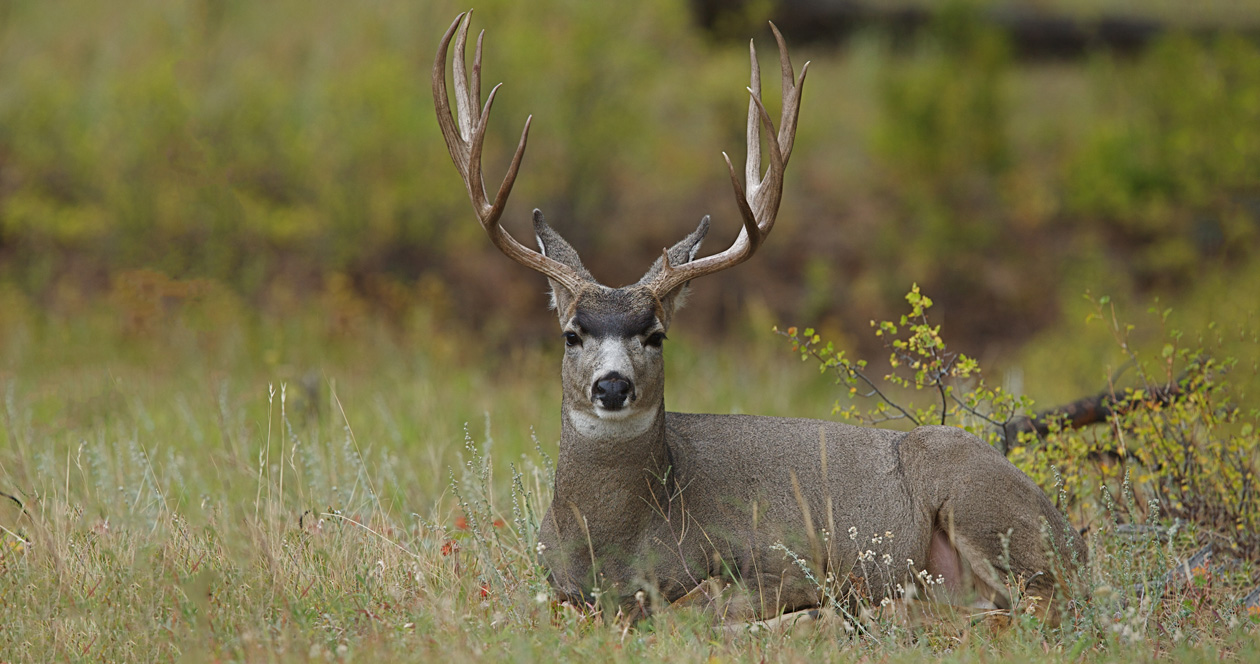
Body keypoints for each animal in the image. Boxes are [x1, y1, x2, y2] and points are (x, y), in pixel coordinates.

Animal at [433, 11, 1086, 626]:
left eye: (656, 336)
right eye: (572, 335)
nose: (612, 386)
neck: (618, 544)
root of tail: (1075, 540)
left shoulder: (776, 560)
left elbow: (696, 609)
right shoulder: (556, 587)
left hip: (975, 496)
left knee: (1038, 605)